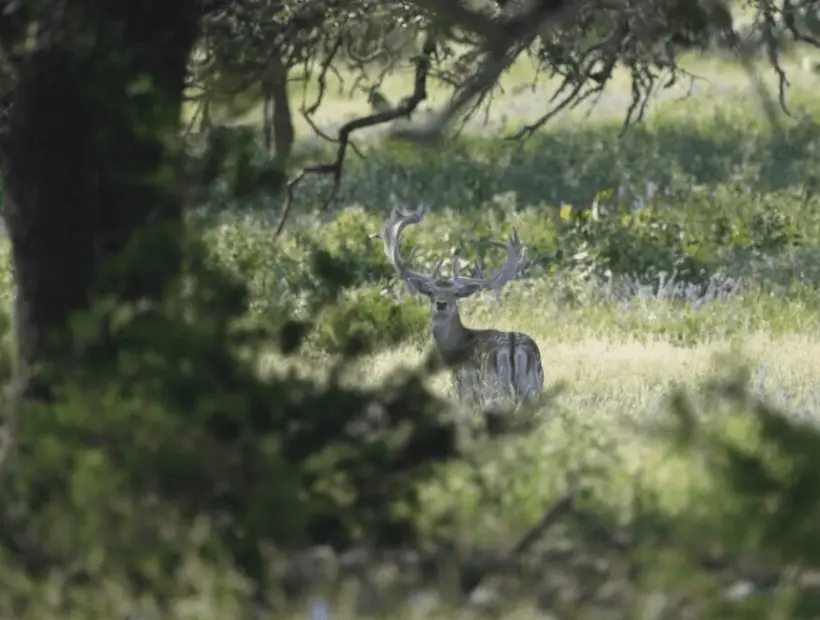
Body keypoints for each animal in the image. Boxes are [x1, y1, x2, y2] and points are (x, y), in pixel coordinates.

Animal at [374, 204, 544, 409]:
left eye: (455, 294)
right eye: (430, 292)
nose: (441, 303)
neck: (452, 353)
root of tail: (513, 347)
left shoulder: (464, 390)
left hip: (493, 390)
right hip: (533, 387)